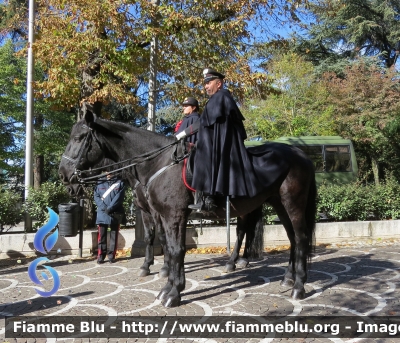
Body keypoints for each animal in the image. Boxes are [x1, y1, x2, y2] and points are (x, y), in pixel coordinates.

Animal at [58, 113, 316, 310]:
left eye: (79, 138)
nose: (64, 175)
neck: (159, 163)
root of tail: (299, 153)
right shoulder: (164, 215)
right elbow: (171, 249)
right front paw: (167, 286)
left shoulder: (172, 215)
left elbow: (175, 250)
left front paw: (173, 292)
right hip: (279, 205)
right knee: (292, 239)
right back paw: (287, 278)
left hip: (292, 204)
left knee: (300, 238)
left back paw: (298, 286)